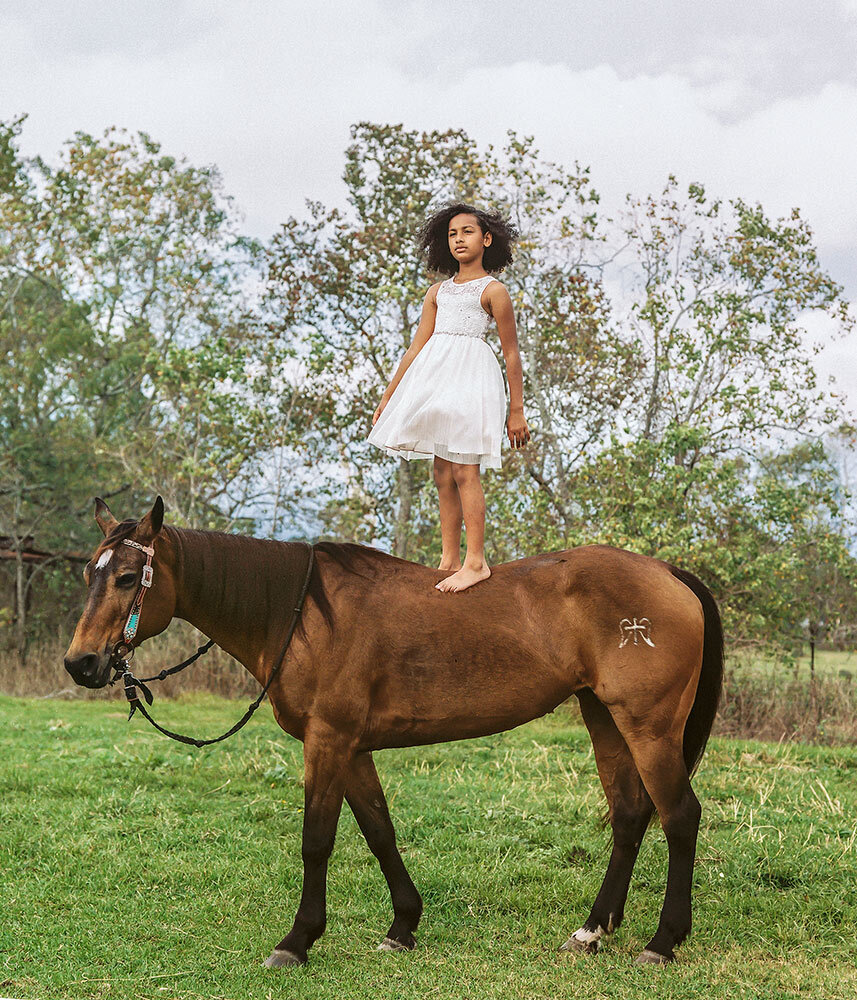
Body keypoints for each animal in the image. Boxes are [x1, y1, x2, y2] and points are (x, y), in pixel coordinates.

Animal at [65, 500, 724, 968]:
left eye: (128, 577)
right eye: (89, 574)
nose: (81, 663)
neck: (300, 615)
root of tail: (668, 573)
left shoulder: (328, 742)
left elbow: (317, 841)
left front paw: (297, 941)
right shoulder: (353, 748)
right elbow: (380, 832)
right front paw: (403, 925)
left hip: (648, 727)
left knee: (679, 816)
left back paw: (663, 941)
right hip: (604, 718)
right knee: (631, 815)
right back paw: (590, 932)